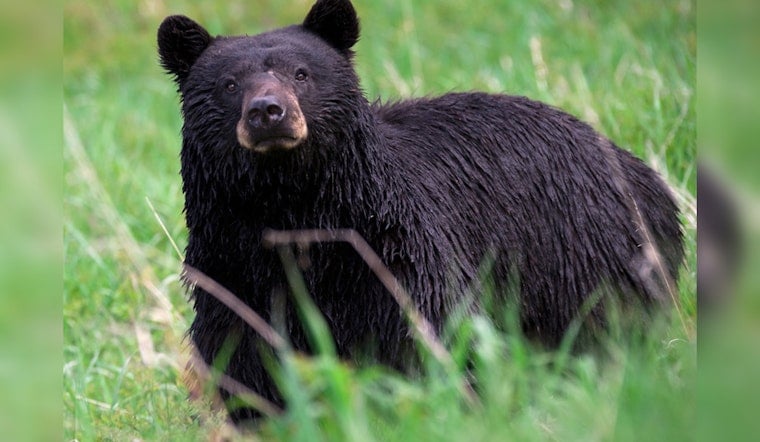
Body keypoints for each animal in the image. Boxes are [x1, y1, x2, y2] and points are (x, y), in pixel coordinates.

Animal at [157, 0, 683, 423]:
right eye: (229, 84)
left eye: (301, 74)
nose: (267, 112)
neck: (294, 210)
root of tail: (644, 173)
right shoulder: (232, 269)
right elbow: (247, 359)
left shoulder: (392, 255)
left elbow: (427, 334)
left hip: (585, 254)